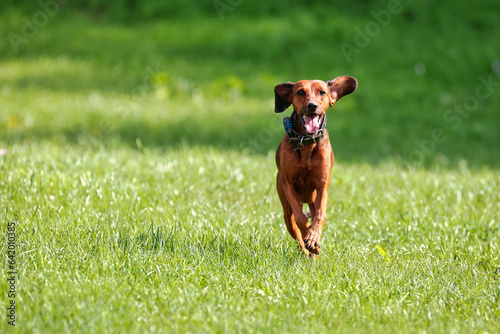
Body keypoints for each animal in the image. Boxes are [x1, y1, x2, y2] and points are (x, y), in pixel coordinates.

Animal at [276, 77, 358, 258]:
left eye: (322, 92)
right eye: (300, 92)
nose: (312, 106)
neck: (306, 142)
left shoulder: (322, 185)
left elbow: (320, 216)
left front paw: (313, 237)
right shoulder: (288, 183)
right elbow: (300, 219)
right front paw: (308, 237)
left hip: (313, 200)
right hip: (285, 206)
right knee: (295, 228)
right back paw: (307, 249)